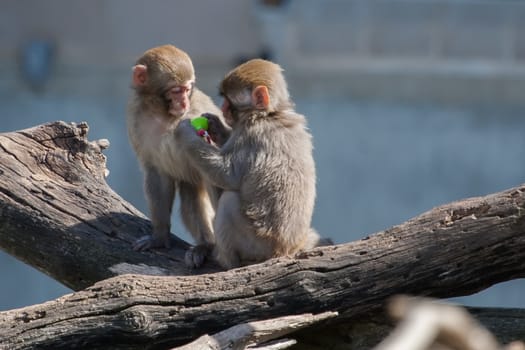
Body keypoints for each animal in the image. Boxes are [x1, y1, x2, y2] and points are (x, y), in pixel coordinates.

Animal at [127, 43, 229, 268]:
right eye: (176, 90)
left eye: (187, 88)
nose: (183, 103)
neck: (164, 114)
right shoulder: (136, 119)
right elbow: (157, 174)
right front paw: (159, 237)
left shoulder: (198, 111)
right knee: (190, 195)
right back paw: (205, 244)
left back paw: (208, 246)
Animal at [174, 59, 326, 268]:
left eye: (229, 100)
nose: (222, 108)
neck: (270, 113)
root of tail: (284, 250)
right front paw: (216, 126)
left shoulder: (249, 135)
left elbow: (226, 175)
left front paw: (185, 131)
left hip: (257, 244)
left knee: (228, 201)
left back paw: (226, 261)